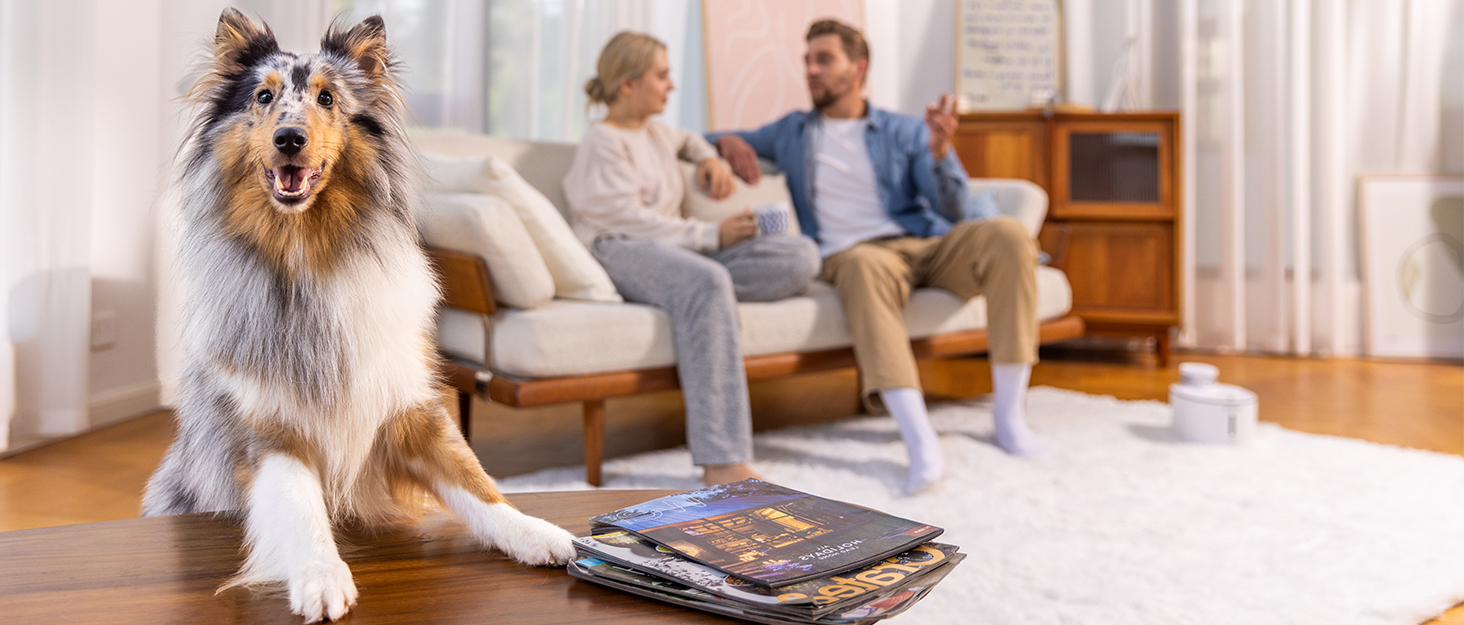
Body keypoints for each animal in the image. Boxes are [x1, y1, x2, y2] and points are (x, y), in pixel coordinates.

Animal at [144, 8, 576, 620]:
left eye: (327, 98)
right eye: (262, 96)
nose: (289, 138)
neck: (306, 258)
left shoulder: (408, 407)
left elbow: (476, 480)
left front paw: (538, 533)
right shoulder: (266, 431)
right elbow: (302, 508)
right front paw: (322, 577)